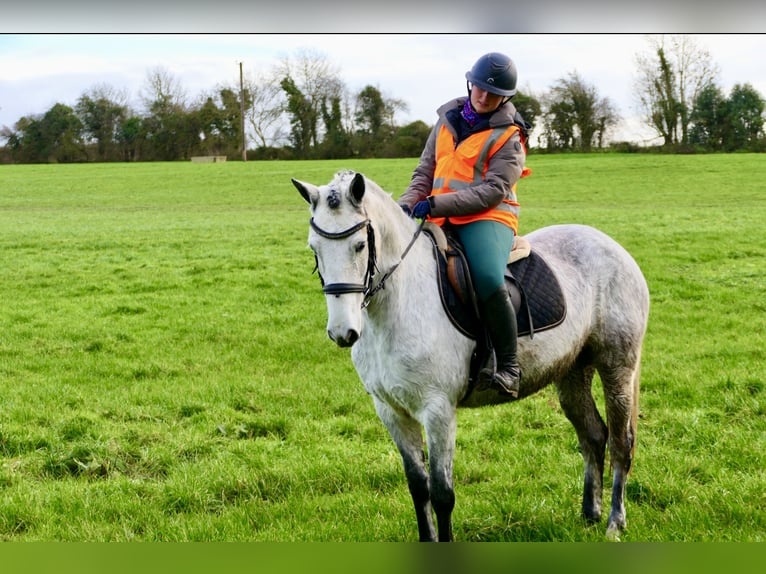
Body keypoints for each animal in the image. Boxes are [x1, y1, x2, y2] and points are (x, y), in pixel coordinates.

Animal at [291, 169, 649, 542]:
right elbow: (417, 487)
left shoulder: (438, 410)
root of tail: (612, 247)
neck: (398, 304)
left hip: (617, 368)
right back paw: (590, 514)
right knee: (593, 435)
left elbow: (441, 493)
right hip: (572, 372)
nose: (342, 332)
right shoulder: (391, 410)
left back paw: (613, 523)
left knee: (621, 443)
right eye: (314, 248)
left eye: (360, 245)